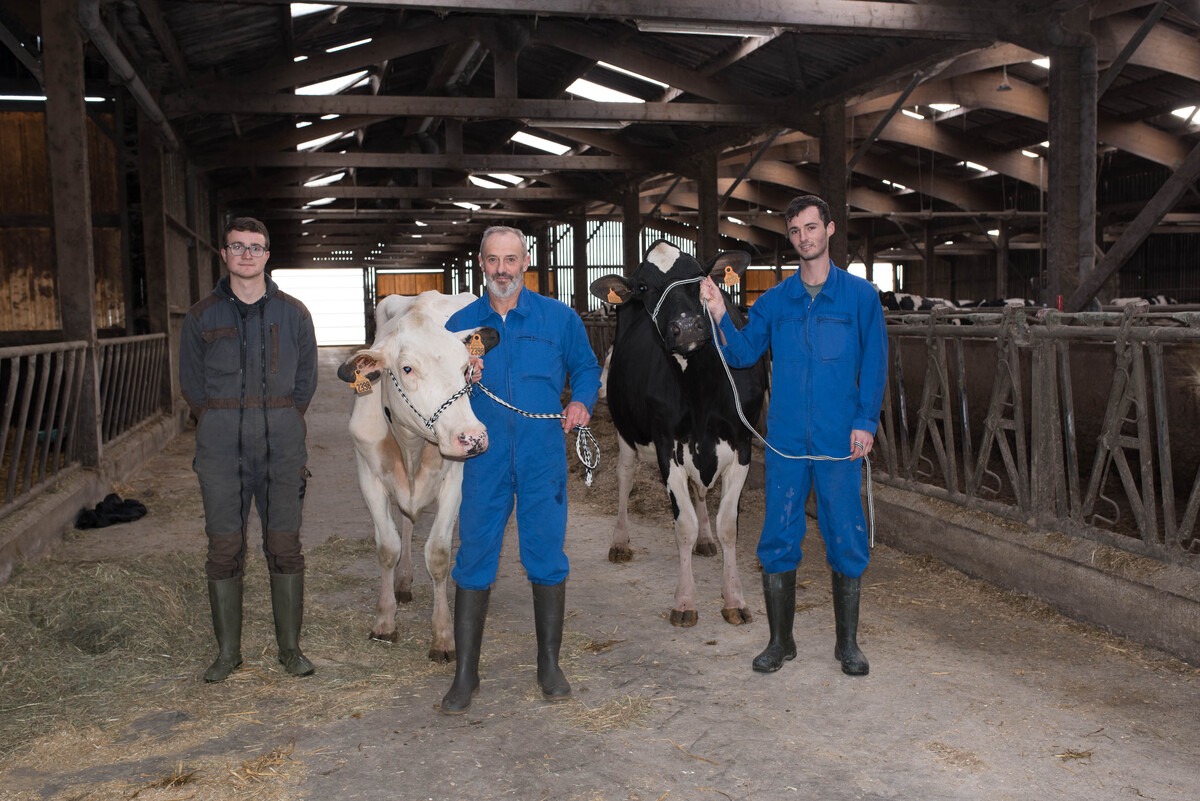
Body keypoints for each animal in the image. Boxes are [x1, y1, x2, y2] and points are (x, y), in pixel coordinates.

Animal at [338, 291, 496, 661]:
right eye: (407, 368)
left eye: (466, 367)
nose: (472, 437)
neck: (410, 446)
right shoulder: (368, 476)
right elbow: (388, 547)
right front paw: (385, 620)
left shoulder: (455, 482)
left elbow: (438, 554)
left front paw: (443, 635)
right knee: (407, 525)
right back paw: (404, 582)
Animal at [590, 241, 768, 628]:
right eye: (644, 287)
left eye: (700, 276)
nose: (686, 327)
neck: (700, 388)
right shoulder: (666, 447)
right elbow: (682, 525)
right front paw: (685, 601)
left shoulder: (742, 446)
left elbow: (728, 525)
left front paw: (734, 599)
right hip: (626, 430)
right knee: (625, 477)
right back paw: (620, 541)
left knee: (699, 491)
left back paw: (705, 539)